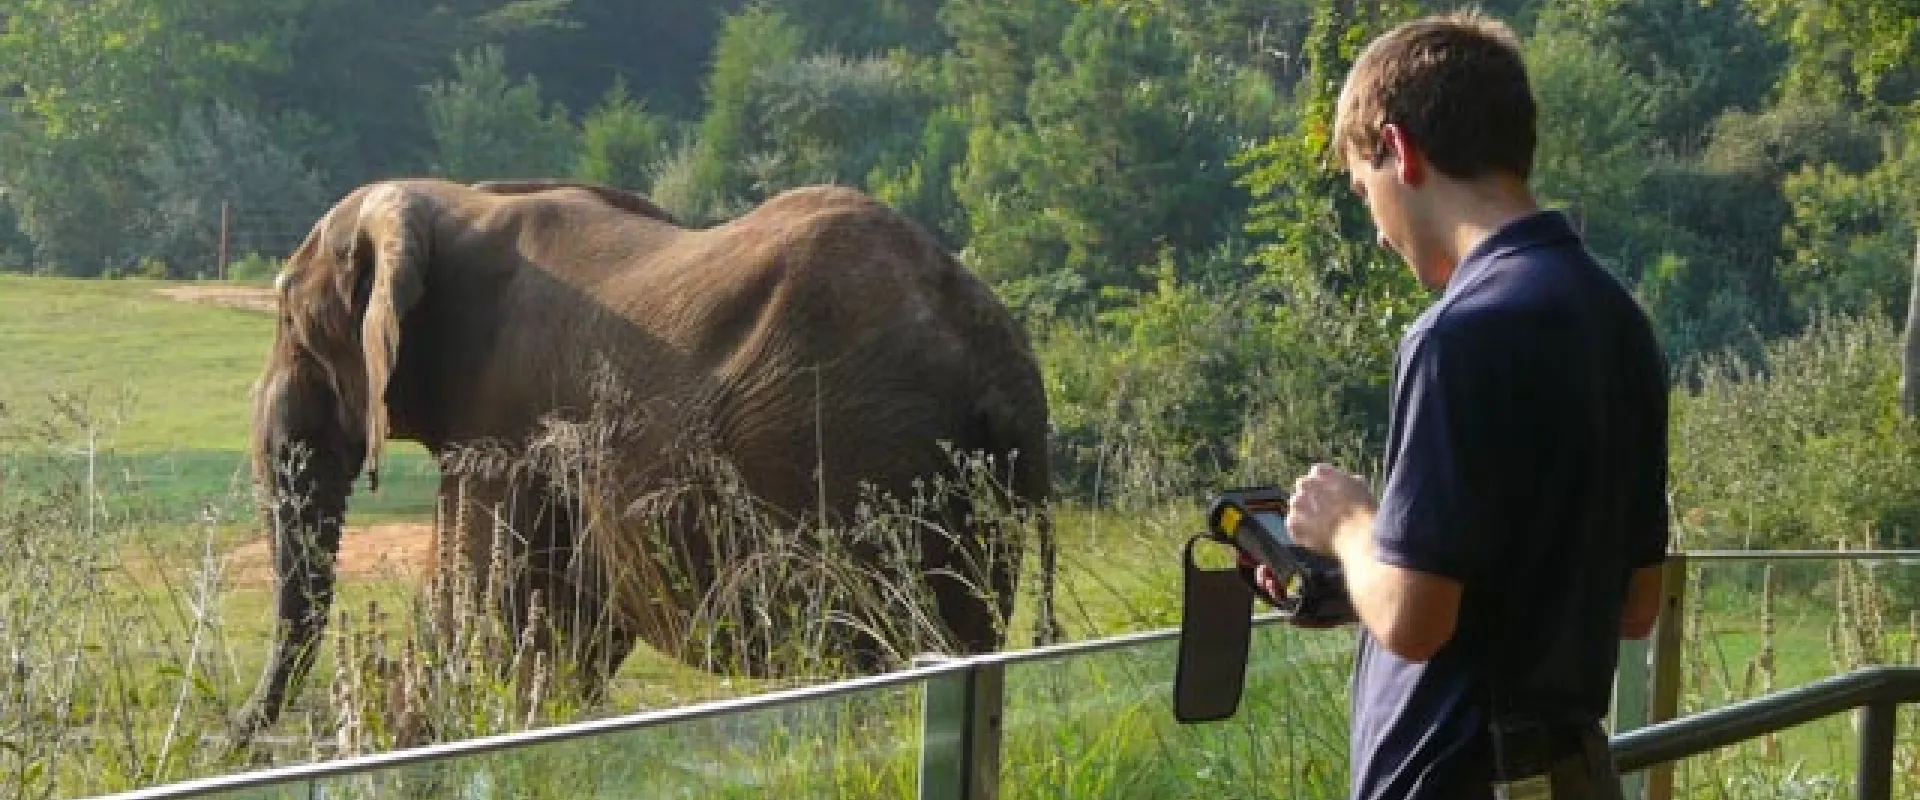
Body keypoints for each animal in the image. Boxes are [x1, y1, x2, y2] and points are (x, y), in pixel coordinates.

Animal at [229, 177, 1059, 748]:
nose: (238, 736)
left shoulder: (500, 429)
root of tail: (1000, 358)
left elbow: (474, 607)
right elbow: (561, 628)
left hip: (856, 449)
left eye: (288, 318)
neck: (457, 199)